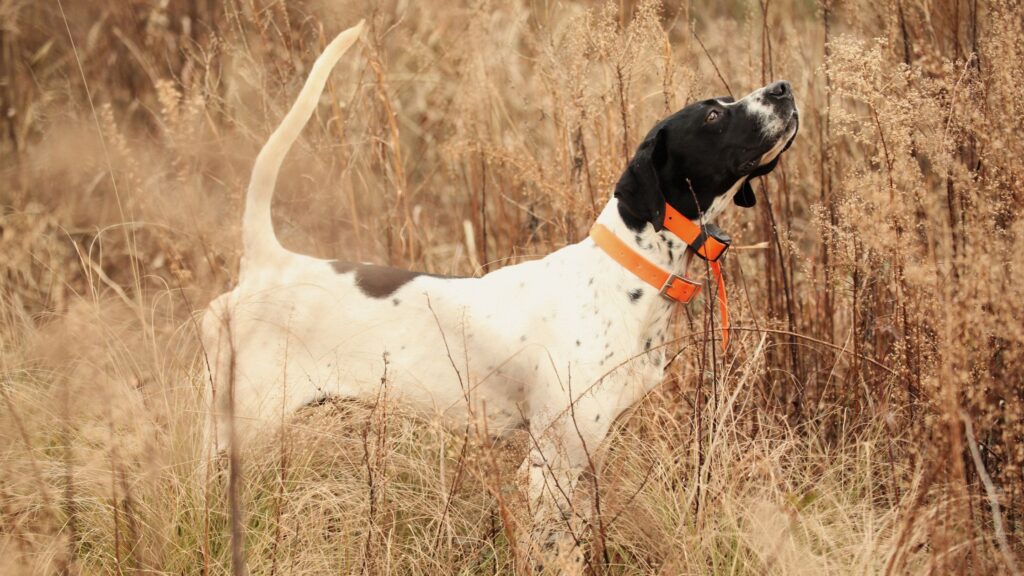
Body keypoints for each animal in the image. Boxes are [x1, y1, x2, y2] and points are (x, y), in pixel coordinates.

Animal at [197, 20, 790, 565]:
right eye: (712, 115)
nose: (782, 87)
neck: (625, 278)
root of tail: (268, 263)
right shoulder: (553, 459)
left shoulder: (587, 454)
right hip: (237, 430)